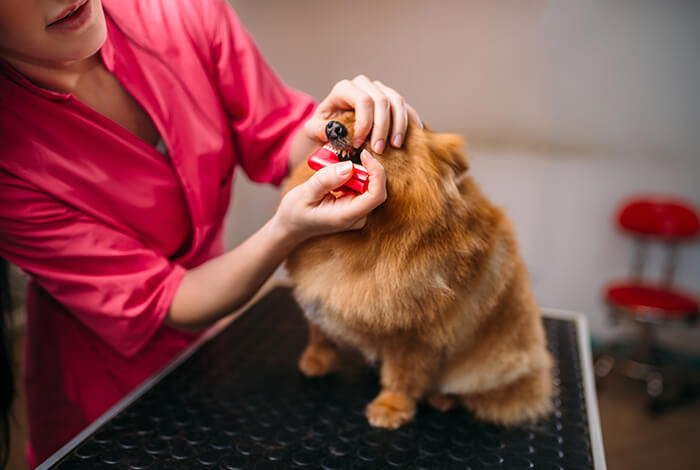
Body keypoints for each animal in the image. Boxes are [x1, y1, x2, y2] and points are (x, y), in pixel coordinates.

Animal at [284, 111, 552, 430]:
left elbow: (402, 375)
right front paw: (315, 359)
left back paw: (443, 398)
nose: (332, 127)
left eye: (378, 131)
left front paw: (390, 407)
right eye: (345, 113)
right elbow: (319, 331)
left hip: (496, 367)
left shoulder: (414, 333)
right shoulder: (321, 287)